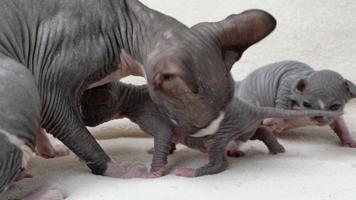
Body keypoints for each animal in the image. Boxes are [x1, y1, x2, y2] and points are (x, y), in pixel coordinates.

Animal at [78, 80, 342, 177]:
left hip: (223, 131)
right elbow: (168, 140)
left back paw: (194, 171)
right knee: (262, 131)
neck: (131, 96)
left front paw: (154, 171)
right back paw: (278, 150)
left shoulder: (152, 116)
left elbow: (162, 135)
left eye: (84, 107)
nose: (81, 118)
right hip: (244, 127)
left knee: (220, 162)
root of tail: (249, 108)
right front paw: (161, 153)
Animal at [225, 61, 356, 156]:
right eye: (306, 104)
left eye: (335, 106)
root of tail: (240, 84)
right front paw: (277, 121)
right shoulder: (290, 83)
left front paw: (349, 142)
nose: (319, 116)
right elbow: (284, 91)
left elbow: (340, 125)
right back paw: (233, 148)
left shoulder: (336, 114)